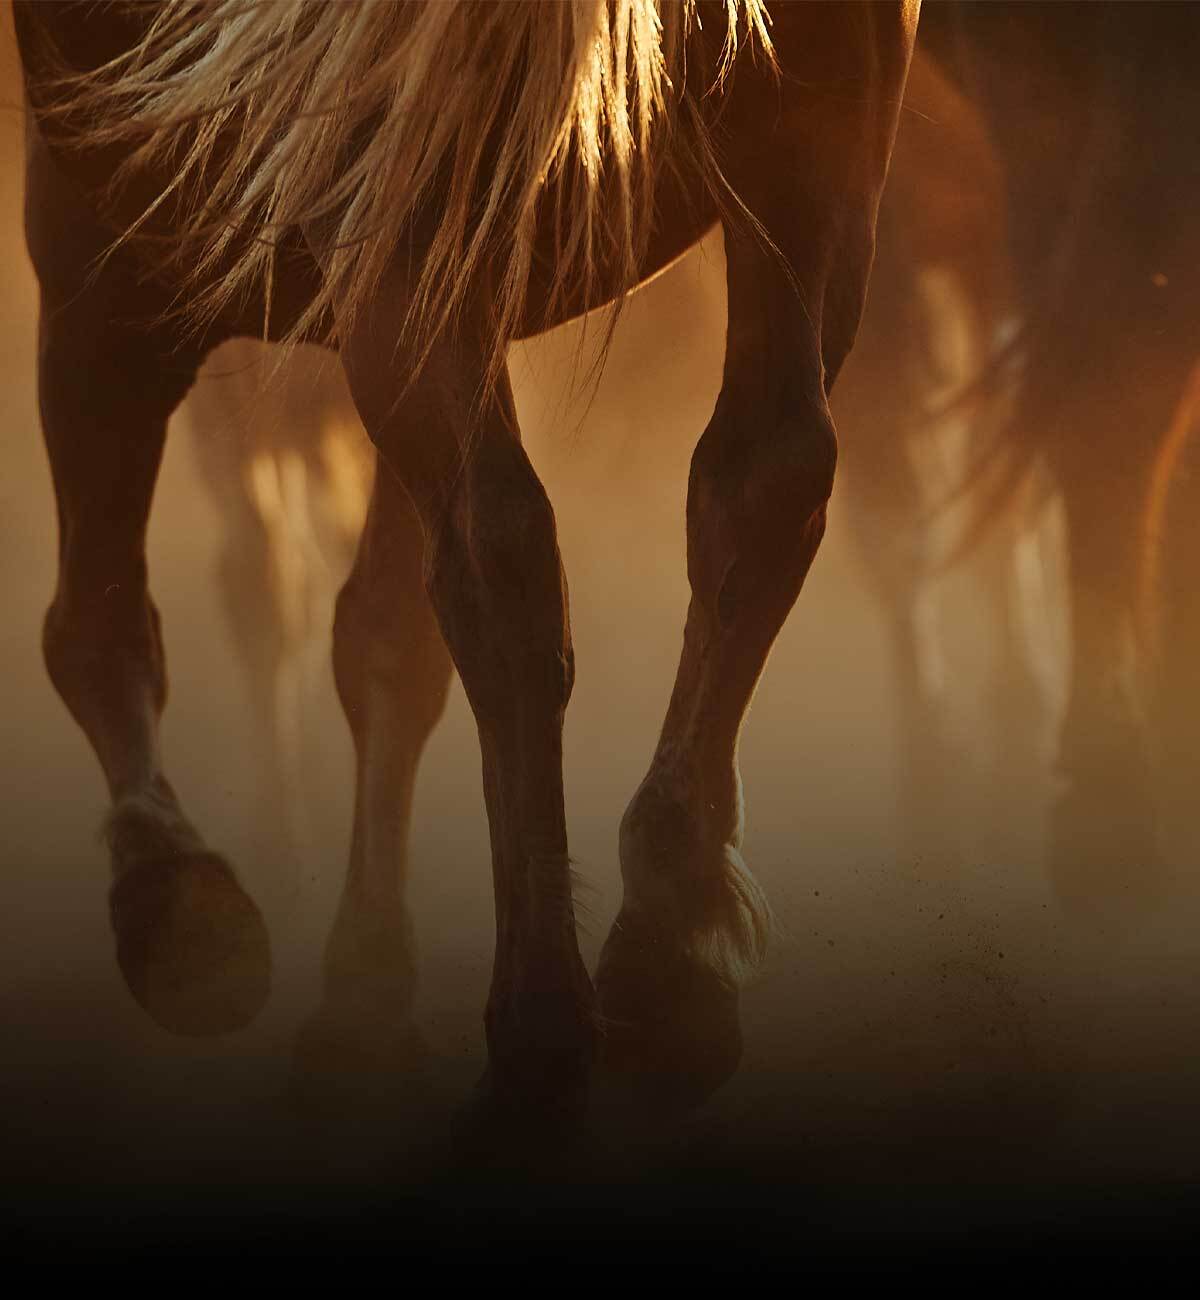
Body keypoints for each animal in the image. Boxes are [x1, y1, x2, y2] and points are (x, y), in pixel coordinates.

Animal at [15, 0, 919, 1121]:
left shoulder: (100, 233)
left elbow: (99, 621)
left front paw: (178, 906)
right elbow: (386, 644)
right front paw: (362, 996)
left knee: (505, 552)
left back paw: (542, 1027)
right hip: (814, 112)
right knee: (757, 477)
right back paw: (665, 960)